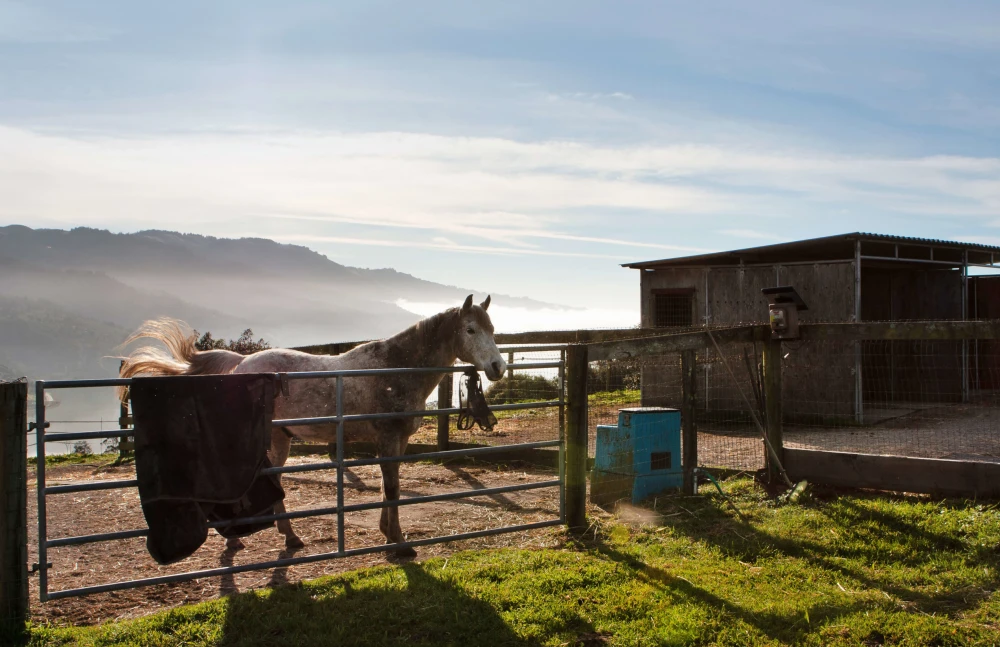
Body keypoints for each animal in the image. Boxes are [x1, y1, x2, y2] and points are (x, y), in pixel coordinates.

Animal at [119, 296, 508, 560]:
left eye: (492, 329)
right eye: (470, 329)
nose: (497, 367)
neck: (394, 368)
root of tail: (241, 363)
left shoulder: (397, 443)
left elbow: (390, 490)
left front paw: (388, 534)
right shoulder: (387, 439)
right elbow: (393, 489)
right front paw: (398, 544)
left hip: (278, 440)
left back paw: (273, 537)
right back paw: (259, 538)